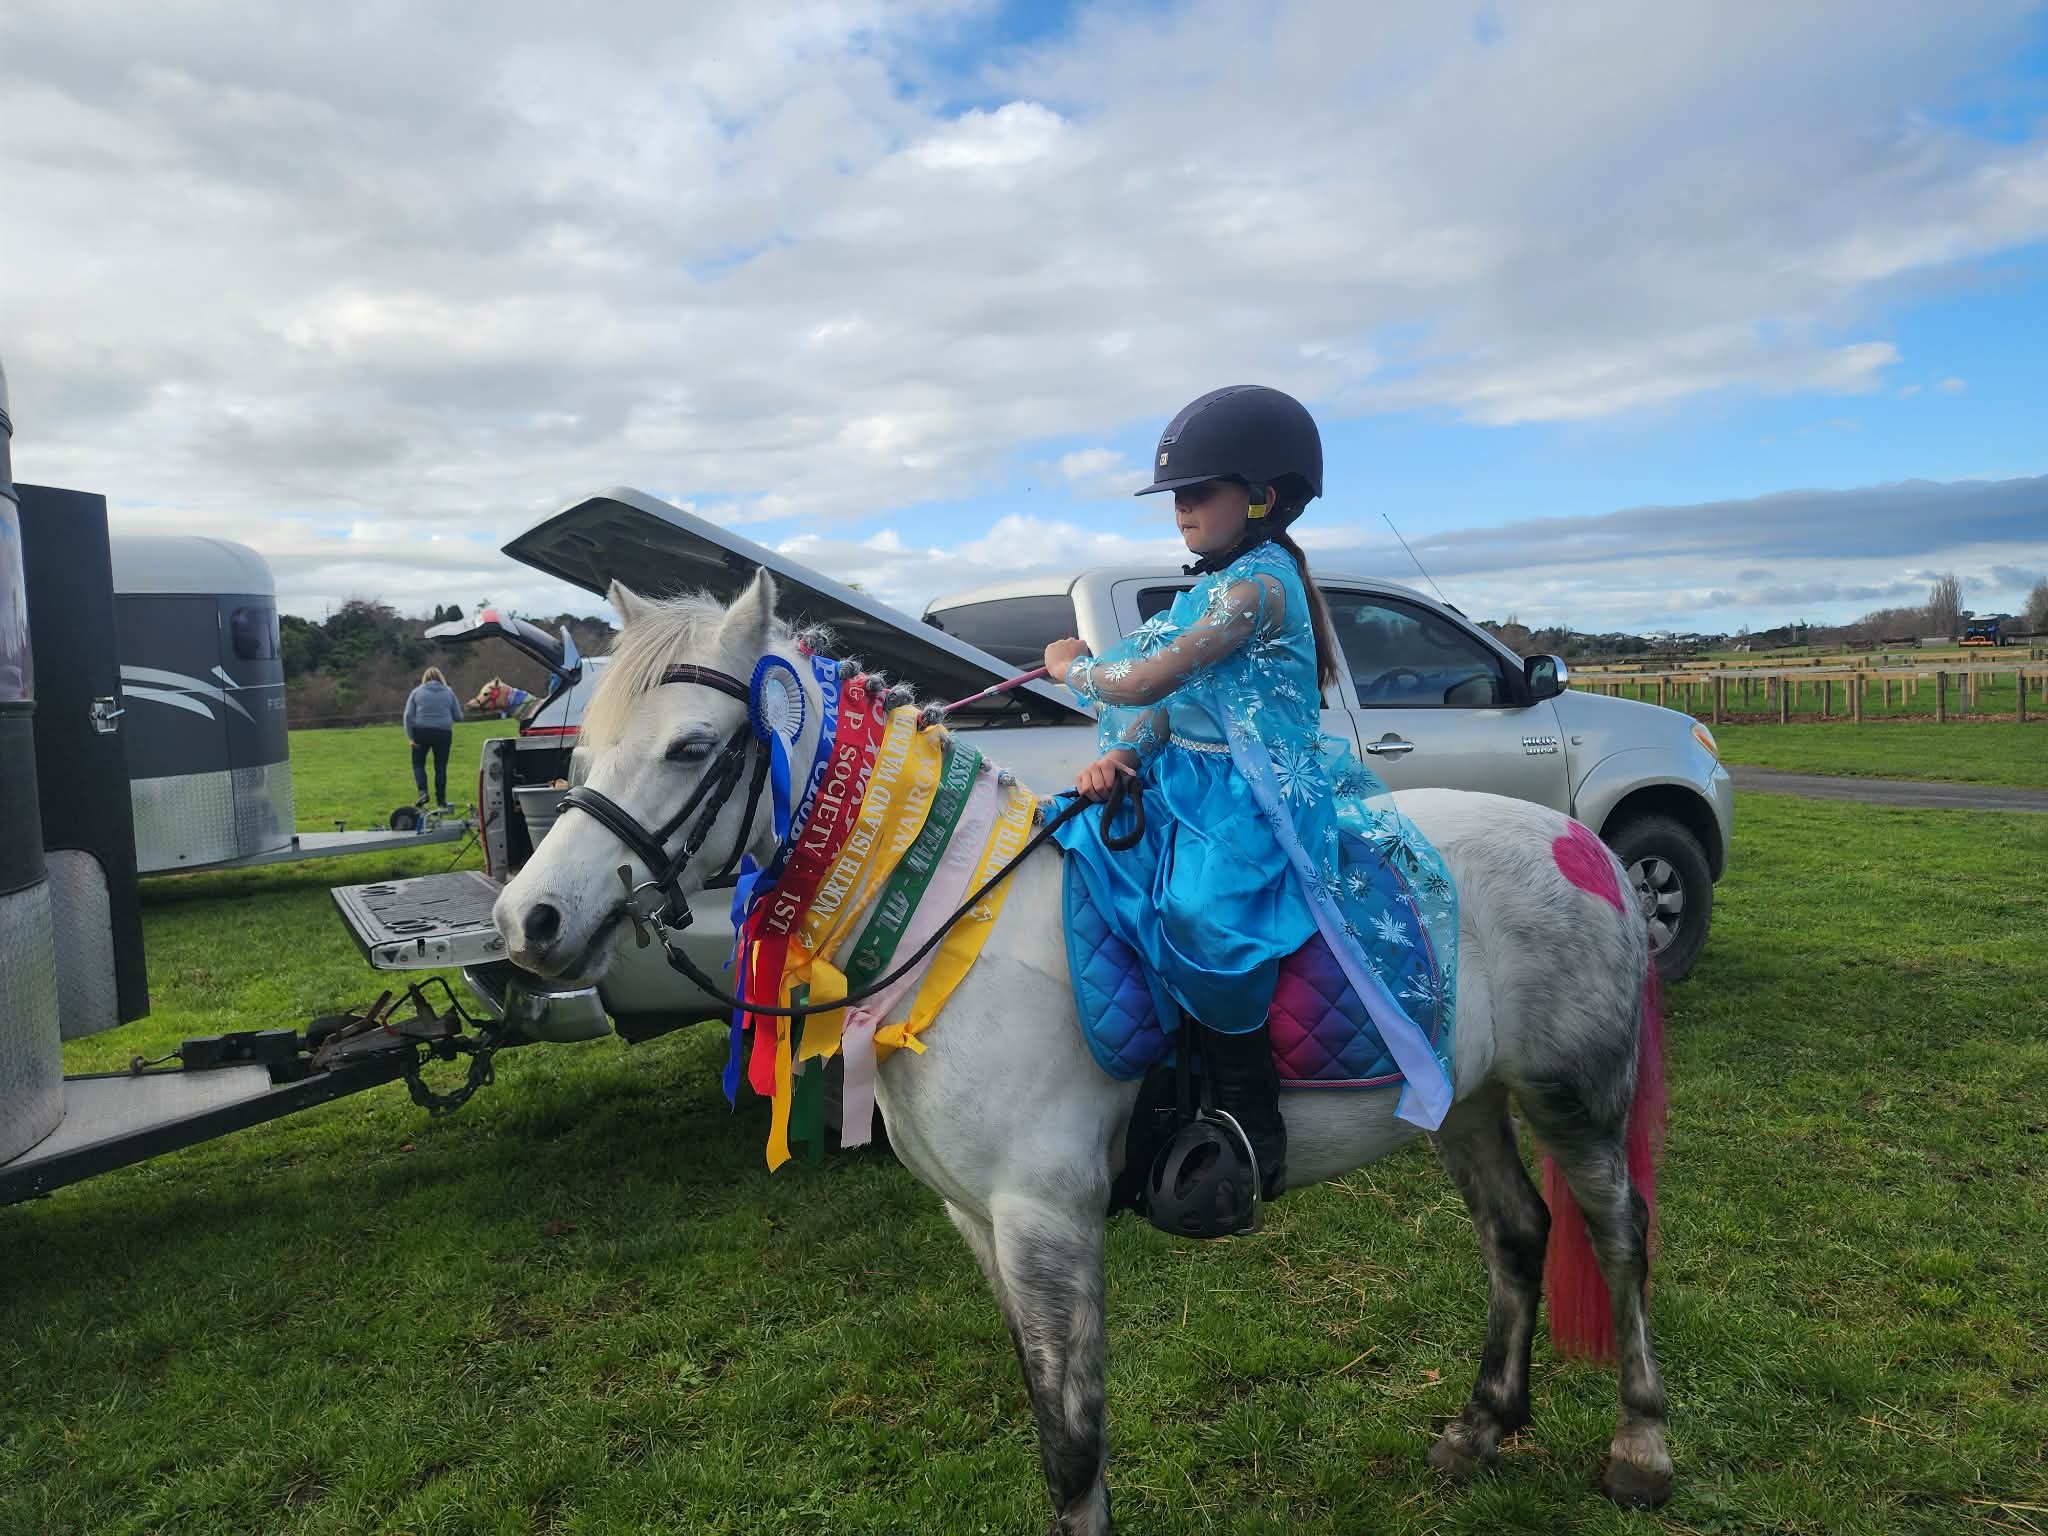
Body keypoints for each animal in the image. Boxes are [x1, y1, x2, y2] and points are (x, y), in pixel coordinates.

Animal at [492, 570, 1672, 1533]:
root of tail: (1583, 841)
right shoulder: (979, 1225)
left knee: (1616, 1235)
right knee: (1516, 1234)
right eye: (582, 757)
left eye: (691, 747)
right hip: (1465, 1099)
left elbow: (1072, 1443)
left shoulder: (1046, 1222)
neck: (950, 931)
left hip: (1574, 1096)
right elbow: (1046, 1421)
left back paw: (1641, 1448)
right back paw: (1481, 1429)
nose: (530, 920)